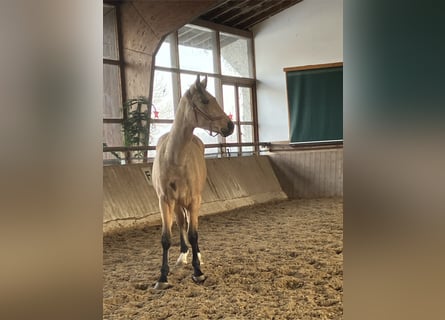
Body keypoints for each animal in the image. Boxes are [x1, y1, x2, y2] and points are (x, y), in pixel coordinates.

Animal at [152, 75, 234, 290]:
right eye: (205, 101)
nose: (230, 126)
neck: (175, 159)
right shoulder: (165, 201)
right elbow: (166, 238)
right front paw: (162, 277)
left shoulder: (194, 200)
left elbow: (194, 234)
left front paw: (198, 271)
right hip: (177, 203)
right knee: (182, 223)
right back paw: (182, 255)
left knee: (189, 227)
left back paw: (195, 254)